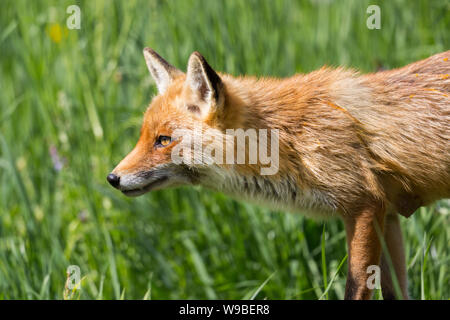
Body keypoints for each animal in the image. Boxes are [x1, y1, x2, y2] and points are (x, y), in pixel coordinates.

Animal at [107, 48, 448, 300]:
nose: (112, 178)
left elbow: (355, 288)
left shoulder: (364, 207)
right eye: (143, 136)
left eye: (163, 140)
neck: (290, 139)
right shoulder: (387, 216)